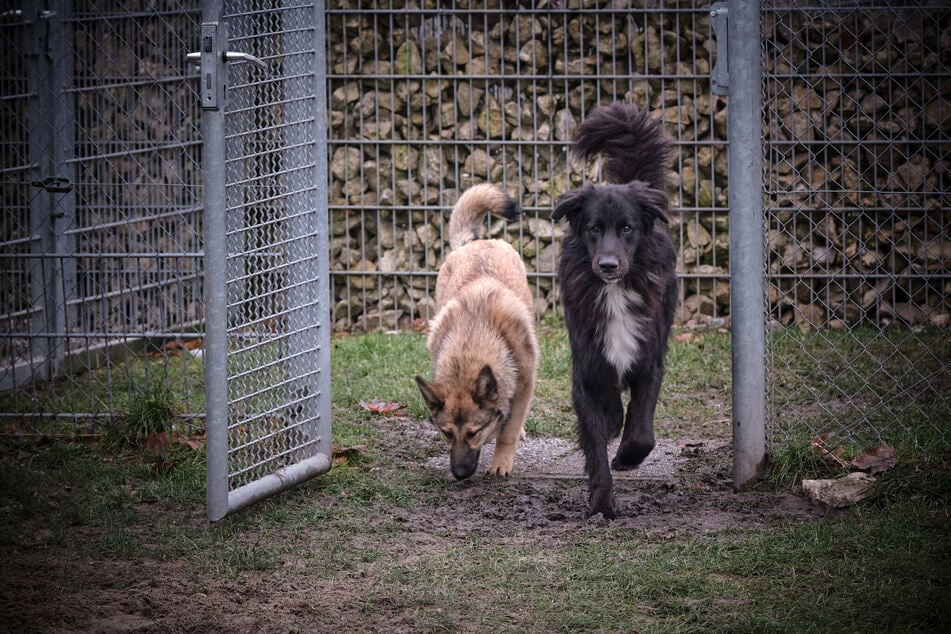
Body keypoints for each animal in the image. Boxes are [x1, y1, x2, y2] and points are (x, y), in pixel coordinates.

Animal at [414, 183, 540, 478]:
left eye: (474, 433)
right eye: (447, 433)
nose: (459, 474)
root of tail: (475, 241)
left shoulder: (525, 381)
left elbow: (508, 431)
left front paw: (501, 463)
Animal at [556, 102, 680, 520]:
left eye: (627, 228)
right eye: (594, 228)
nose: (608, 265)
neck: (613, 293)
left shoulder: (649, 358)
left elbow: (641, 430)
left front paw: (627, 457)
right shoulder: (587, 365)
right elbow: (595, 439)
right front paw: (601, 501)